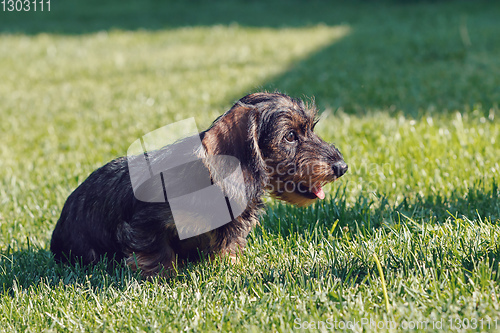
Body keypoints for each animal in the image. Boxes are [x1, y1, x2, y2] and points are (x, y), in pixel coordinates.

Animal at [50, 92, 348, 274]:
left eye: (310, 128)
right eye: (289, 136)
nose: (342, 167)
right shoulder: (145, 224)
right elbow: (156, 253)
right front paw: (164, 279)